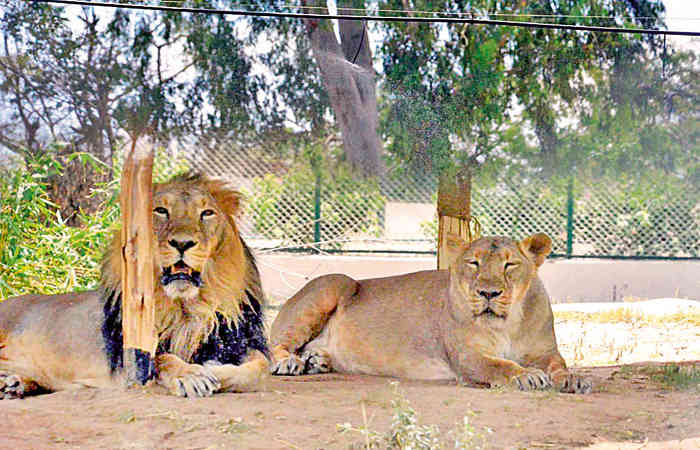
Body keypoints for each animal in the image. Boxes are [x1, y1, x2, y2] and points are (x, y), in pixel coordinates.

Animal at [0, 173, 269, 399]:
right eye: (161, 211)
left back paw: (14, 384)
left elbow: (261, 367)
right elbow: (161, 358)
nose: (182, 243)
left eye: (207, 213)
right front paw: (191, 374)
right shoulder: (129, 359)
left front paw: (213, 367)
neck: (186, 308)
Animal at [270, 233, 592, 394]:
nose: (488, 293)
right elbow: (500, 366)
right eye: (474, 263)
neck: (508, 322)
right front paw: (527, 376)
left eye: (509, 264)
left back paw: (316, 360)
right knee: (275, 344)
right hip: (334, 282)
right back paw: (290, 362)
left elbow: (559, 365)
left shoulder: (545, 351)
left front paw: (573, 379)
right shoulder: (468, 356)